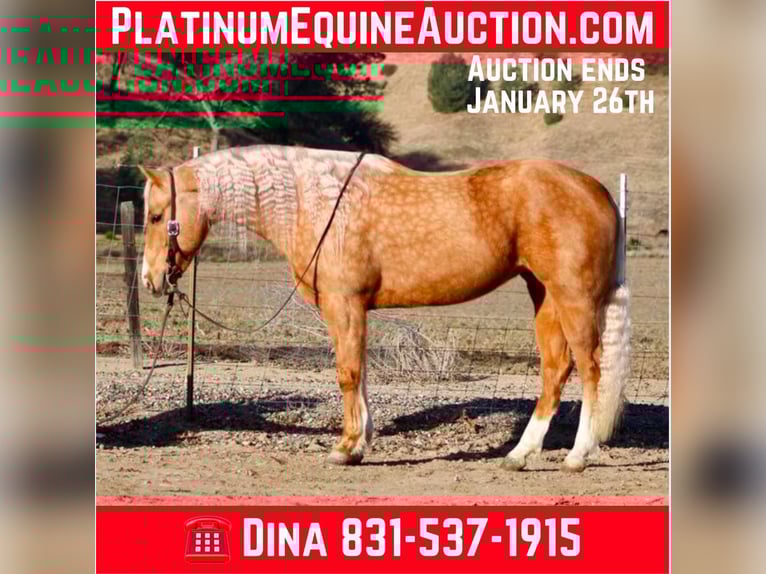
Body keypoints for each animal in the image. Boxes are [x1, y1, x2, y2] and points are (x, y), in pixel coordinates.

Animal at [139, 145, 630, 472]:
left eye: (157, 216)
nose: (150, 279)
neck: (316, 200)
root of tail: (596, 190)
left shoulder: (344, 304)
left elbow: (348, 372)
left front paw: (346, 447)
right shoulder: (354, 310)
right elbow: (360, 373)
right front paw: (361, 442)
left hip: (574, 297)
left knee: (591, 367)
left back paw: (578, 456)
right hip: (544, 294)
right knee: (555, 369)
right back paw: (520, 455)